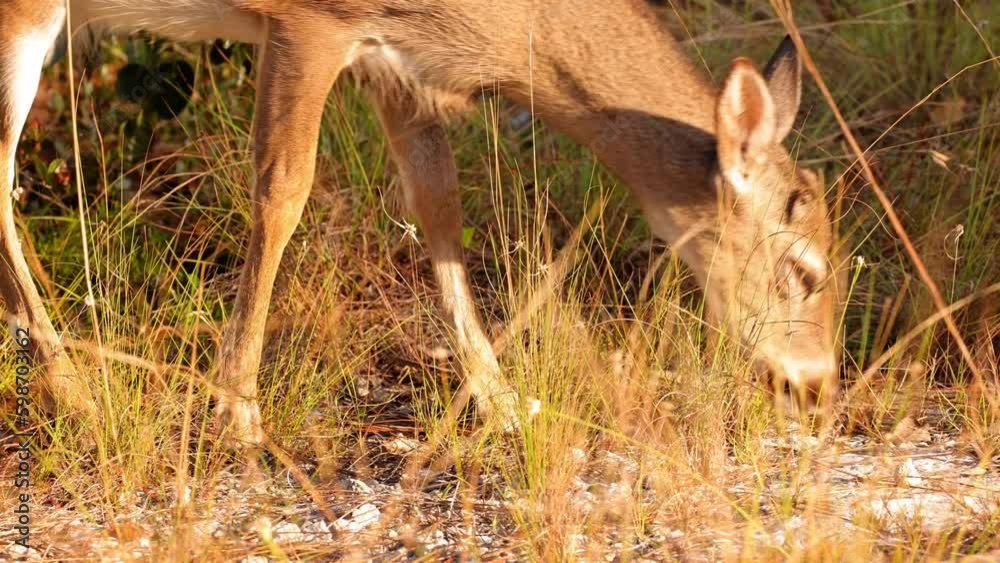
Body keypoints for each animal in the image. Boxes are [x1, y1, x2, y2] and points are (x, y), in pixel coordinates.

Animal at [2, 0, 839, 454]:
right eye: (803, 268)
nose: (818, 385)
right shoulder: (310, 25)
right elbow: (283, 192)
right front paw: (237, 411)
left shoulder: (393, 60)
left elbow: (439, 204)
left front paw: (503, 400)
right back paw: (74, 390)